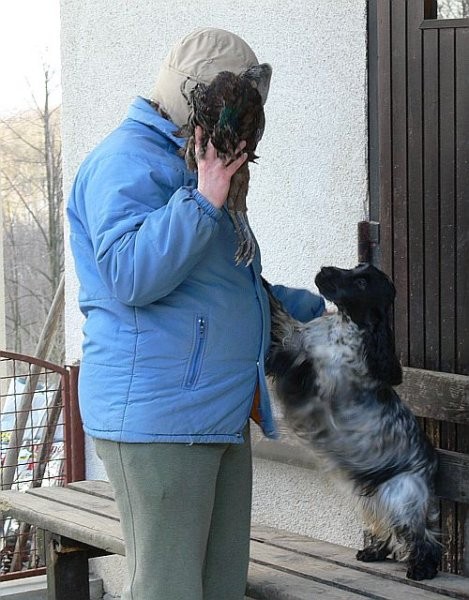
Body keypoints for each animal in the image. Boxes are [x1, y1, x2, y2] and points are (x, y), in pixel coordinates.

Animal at [266, 264, 440, 580]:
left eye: (360, 283)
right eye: (357, 267)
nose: (324, 270)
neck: (343, 326)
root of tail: (432, 467)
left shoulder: (315, 385)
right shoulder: (295, 341)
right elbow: (280, 314)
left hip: (402, 494)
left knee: (420, 534)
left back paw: (422, 567)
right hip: (375, 495)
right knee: (386, 526)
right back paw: (373, 552)